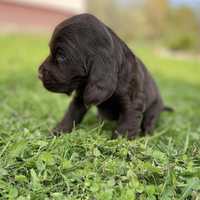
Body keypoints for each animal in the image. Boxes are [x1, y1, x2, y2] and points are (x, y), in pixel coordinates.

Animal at [38, 13, 172, 138]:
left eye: (61, 56)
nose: (39, 74)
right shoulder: (80, 97)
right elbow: (71, 114)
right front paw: (57, 132)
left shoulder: (133, 103)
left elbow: (126, 127)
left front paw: (118, 143)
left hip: (153, 110)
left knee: (149, 122)